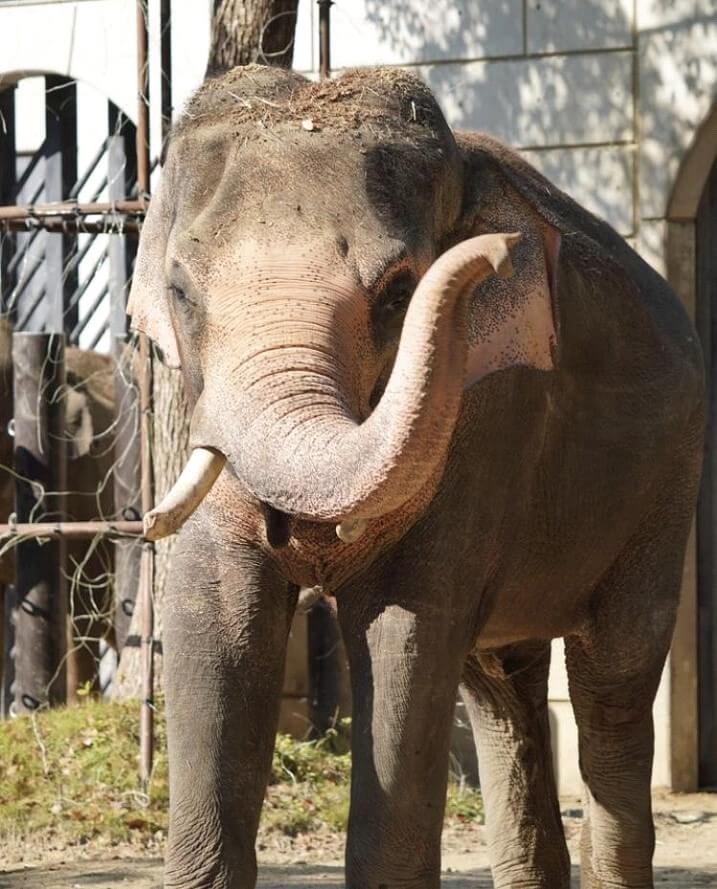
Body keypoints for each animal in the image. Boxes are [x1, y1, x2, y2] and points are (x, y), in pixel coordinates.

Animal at [127, 64, 704, 888]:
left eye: (399, 293)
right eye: (180, 293)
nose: (495, 251)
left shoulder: (487, 420)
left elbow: (404, 631)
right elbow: (211, 615)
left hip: (666, 483)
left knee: (612, 684)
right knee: (500, 687)